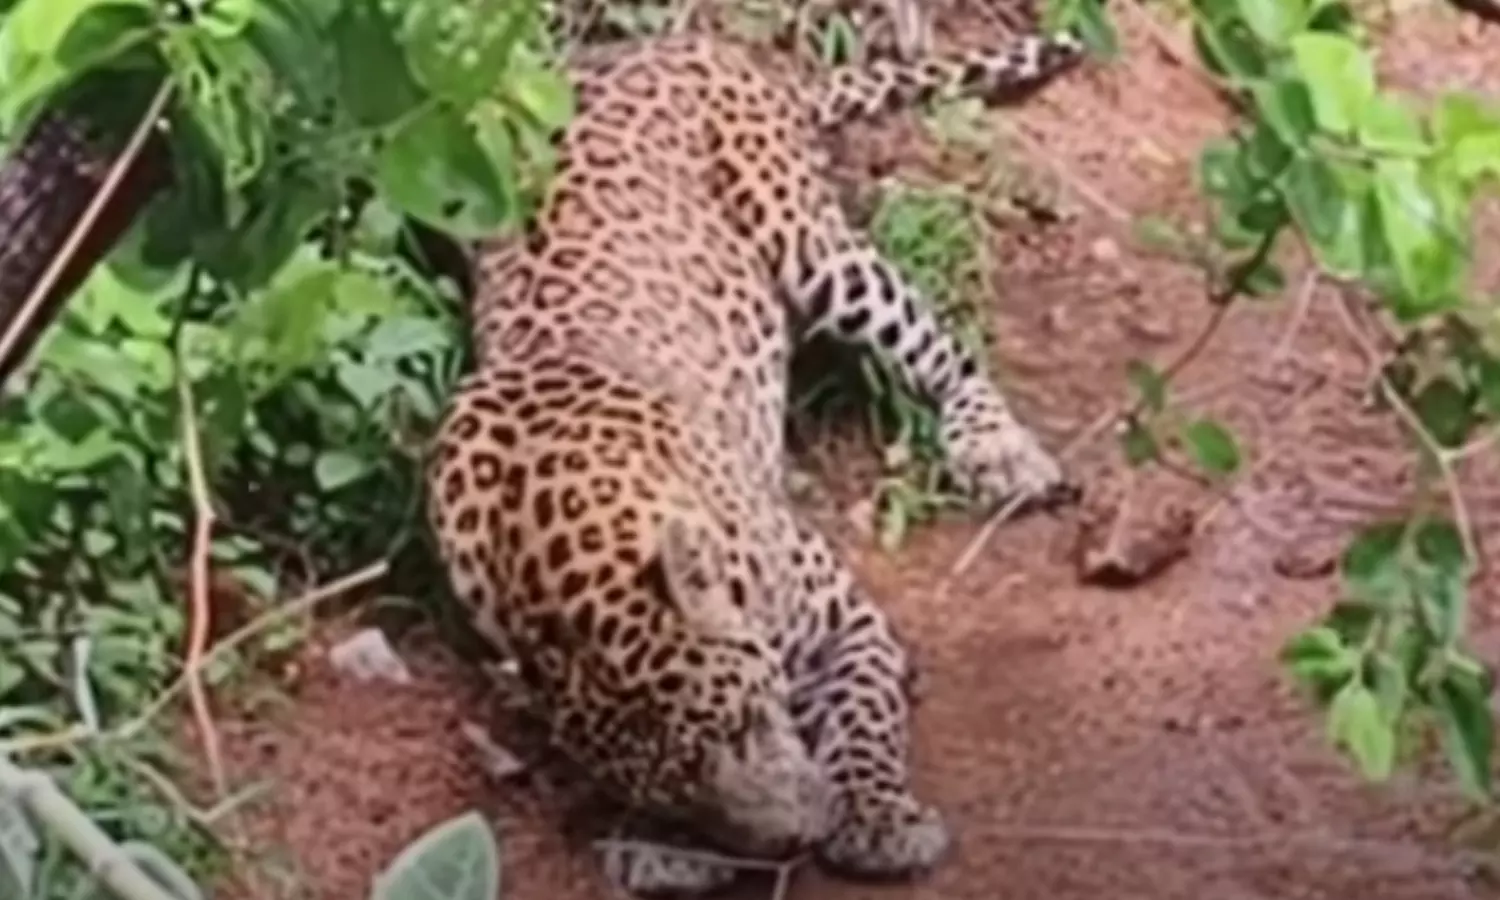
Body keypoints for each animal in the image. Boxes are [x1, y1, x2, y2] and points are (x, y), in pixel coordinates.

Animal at [426, 25, 1085, 896]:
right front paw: (664, 850)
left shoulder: (850, 626)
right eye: (673, 791)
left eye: (742, 726)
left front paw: (878, 823)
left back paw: (1000, 451)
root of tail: (666, 41)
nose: (791, 841)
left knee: (939, 342)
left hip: (815, 247)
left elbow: (866, 722)